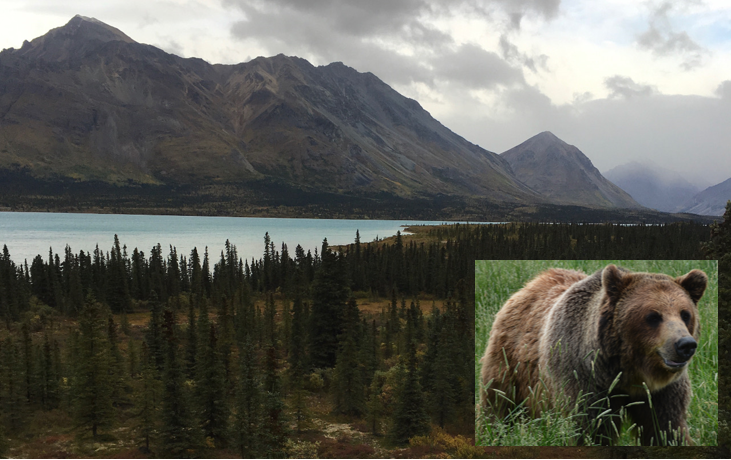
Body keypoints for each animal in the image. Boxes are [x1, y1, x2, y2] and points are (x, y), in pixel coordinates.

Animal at [479, 264, 707, 446]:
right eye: (653, 316)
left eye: (685, 314)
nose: (685, 344)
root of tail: (531, 284)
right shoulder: (583, 379)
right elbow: (591, 429)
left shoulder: (661, 393)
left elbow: (665, 428)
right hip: (510, 361)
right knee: (498, 403)